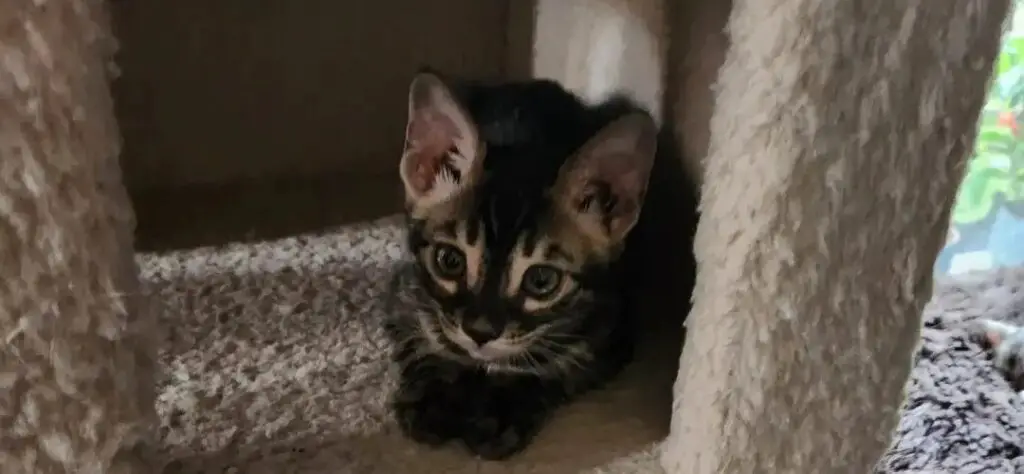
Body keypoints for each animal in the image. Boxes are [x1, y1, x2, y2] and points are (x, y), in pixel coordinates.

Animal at [385, 70, 655, 460]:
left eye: (541, 280)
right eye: (449, 261)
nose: (480, 331)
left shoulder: (611, 330)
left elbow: (552, 366)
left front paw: (502, 407)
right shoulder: (402, 293)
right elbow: (425, 338)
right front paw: (434, 396)